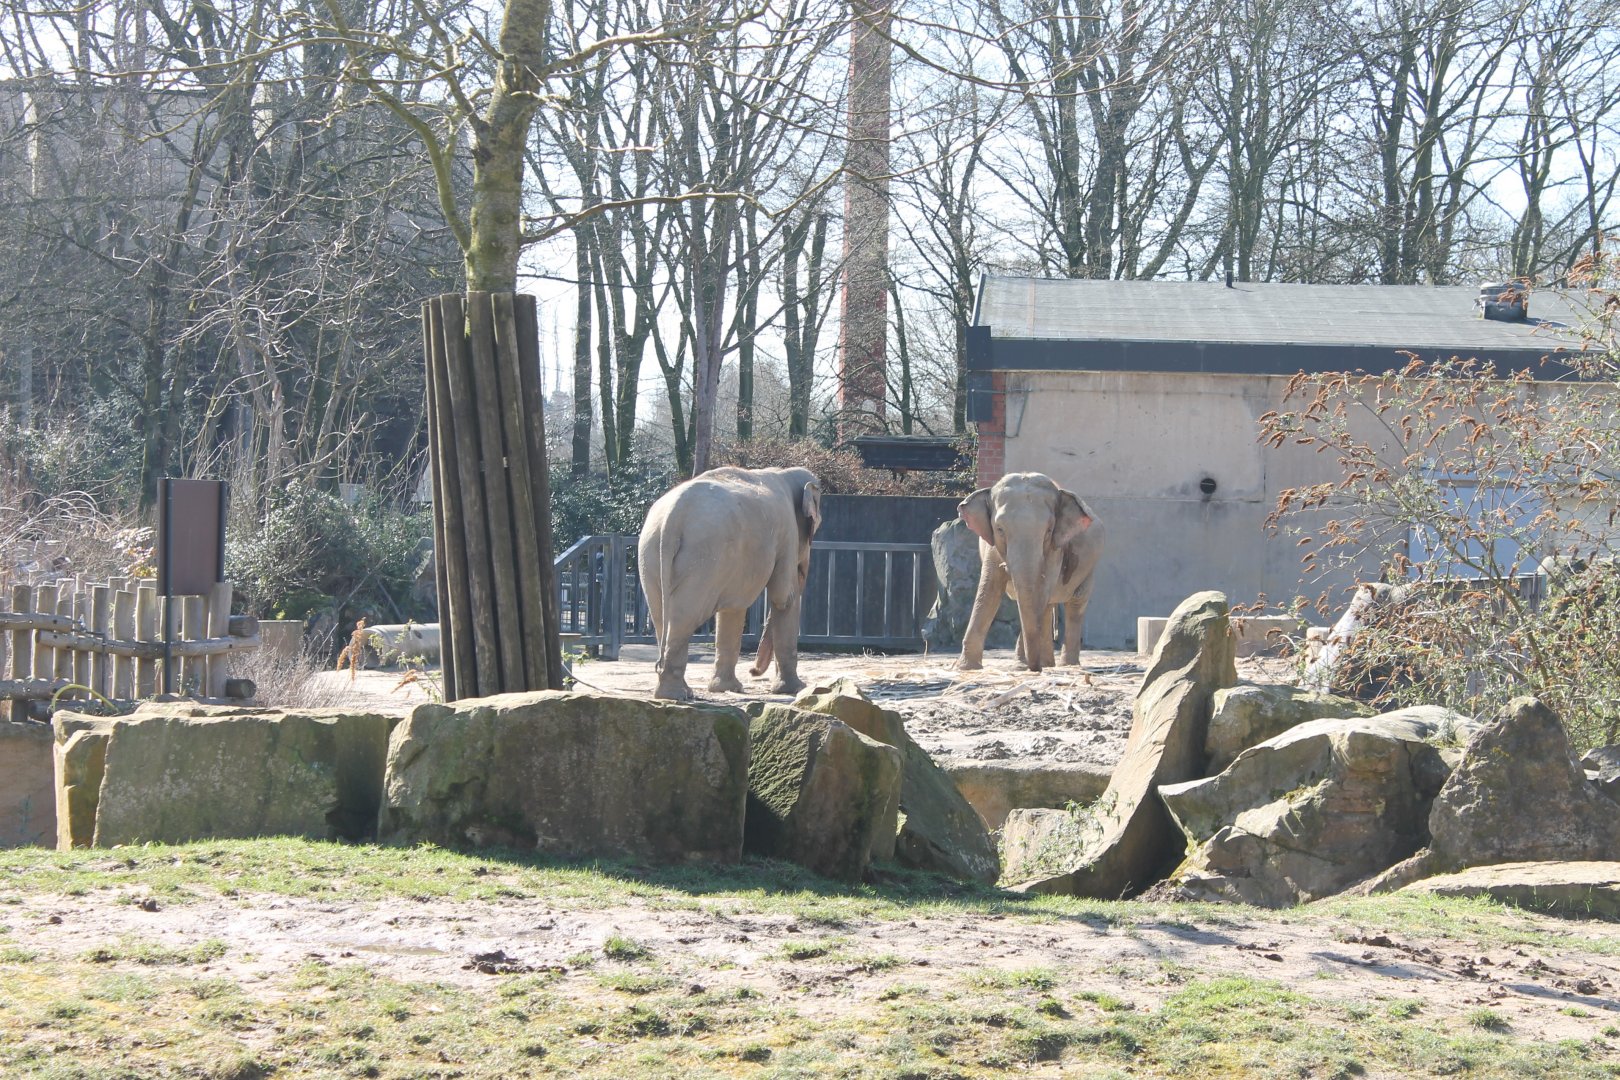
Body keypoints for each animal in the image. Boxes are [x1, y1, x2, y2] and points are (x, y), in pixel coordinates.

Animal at [638, 466, 823, 700]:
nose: (753, 671)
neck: (784, 473)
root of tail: (672, 519)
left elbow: (734, 606)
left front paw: (726, 688)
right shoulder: (787, 533)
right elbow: (783, 598)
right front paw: (795, 689)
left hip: (650, 554)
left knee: (662, 617)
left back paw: (678, 692)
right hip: (703, 556)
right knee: (684, 616)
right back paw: (675, 695)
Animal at [957, 472, 1104, 672]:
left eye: (1049, 530)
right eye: (999, 529)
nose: (1035, 669)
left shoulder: (1055, 548)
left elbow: (1040, 592)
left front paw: (1025, 665)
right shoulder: (992, 548)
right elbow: (988, 591)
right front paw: (966, 668)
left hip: (1089, 568)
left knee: (1074, 604)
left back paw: (1066, 664)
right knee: (1048, 605)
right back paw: (1046, 664)